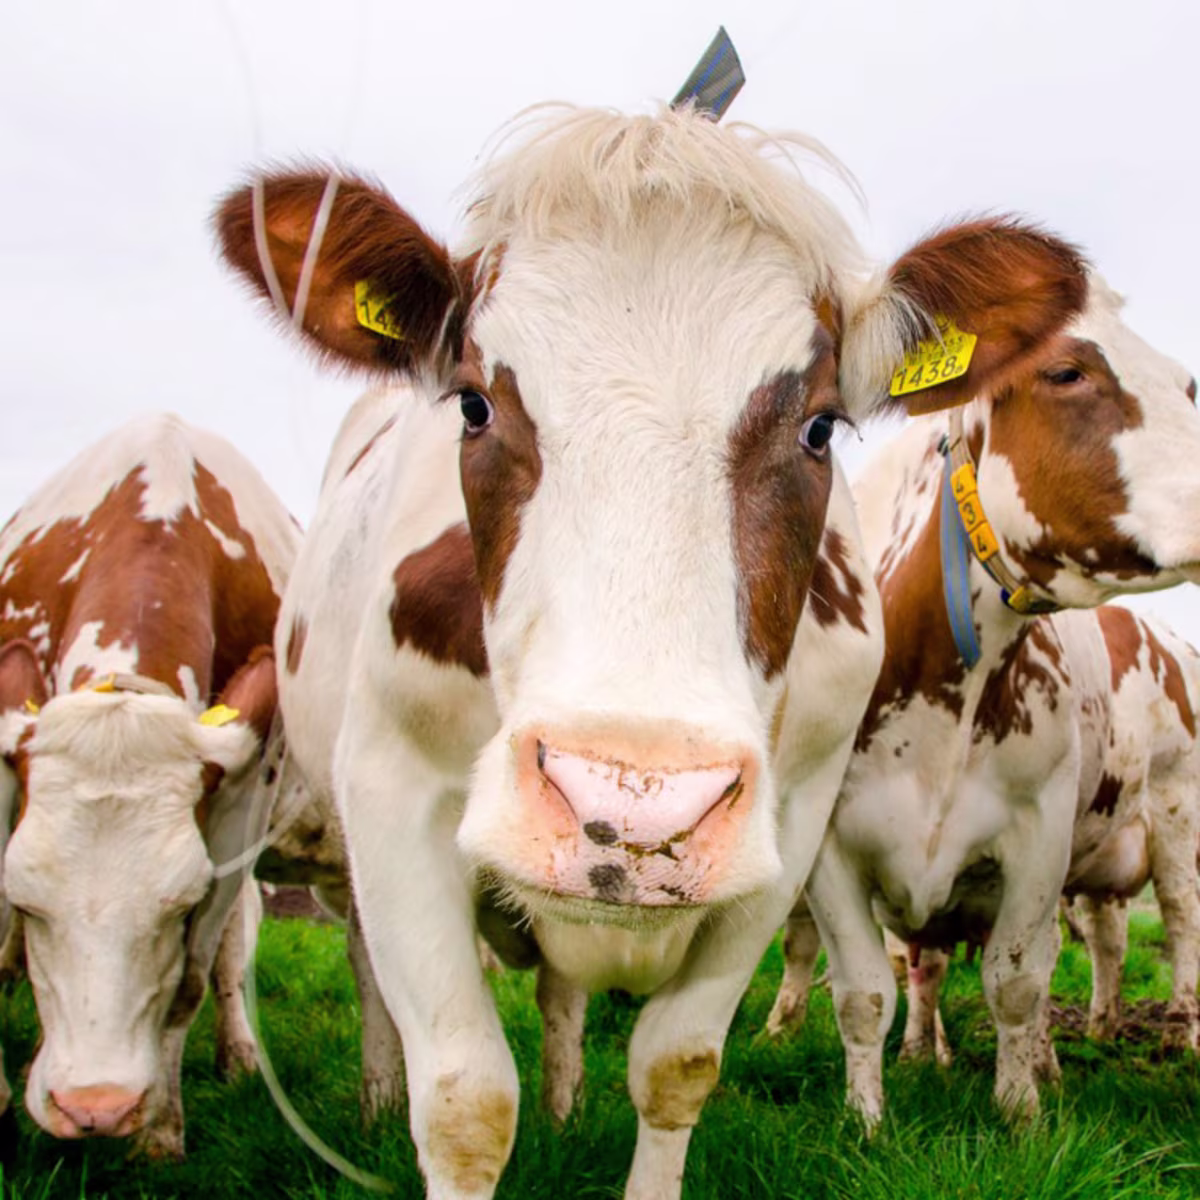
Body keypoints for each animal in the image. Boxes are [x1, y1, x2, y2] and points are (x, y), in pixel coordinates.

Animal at [0, 412, 299, 1158]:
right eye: (28, 903)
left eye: (178, 907)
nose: (94, 1108)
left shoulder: (245, 791)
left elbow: (194, 971)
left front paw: (160, 1130)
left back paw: (238, 1051)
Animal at [214, 103, 1091, 1197]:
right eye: (474, 403)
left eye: (819, 427)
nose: (633, 804)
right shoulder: (389, 790)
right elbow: (463, 1102)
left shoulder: (789, 826)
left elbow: (676, 1066)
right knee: (375, 978)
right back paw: (378, 1099)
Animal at [792, 271, 1200, 1125]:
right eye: (1067, 371)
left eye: (1187, 383)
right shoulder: (831, 850)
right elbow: (867, 992)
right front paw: (870, 1115)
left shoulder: (1037, 835)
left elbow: (1015, 982)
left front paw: (1021, 1114)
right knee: (1105, 935)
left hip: (1179, 811)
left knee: (1181, 921)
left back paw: (1175, 1034)